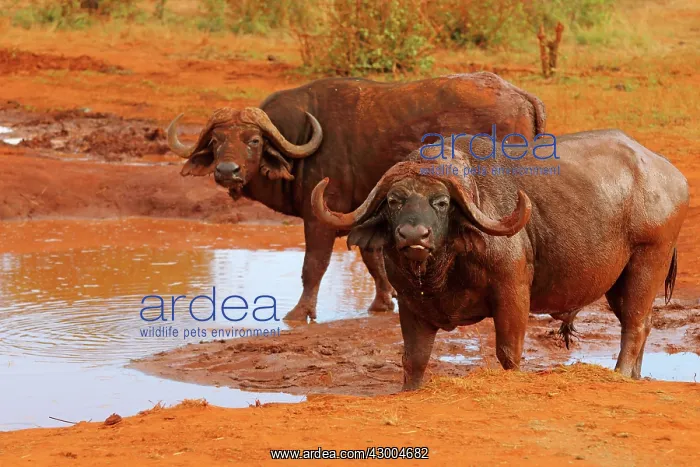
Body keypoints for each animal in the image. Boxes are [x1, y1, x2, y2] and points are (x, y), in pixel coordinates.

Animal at [165, 72, 546, 321]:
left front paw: (299, 313)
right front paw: (383, 302)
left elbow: (313, 265)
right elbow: (372, 258)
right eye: (216, 141)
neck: (301, 140)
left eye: (253, 140)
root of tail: (522, 95)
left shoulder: (319, 217)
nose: (226, 171)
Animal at [311, 131, 689, 389]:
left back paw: (621, 375)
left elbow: (509, 351)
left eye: (441, 202)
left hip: (647, 261)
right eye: (393, 200)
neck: (445, 267)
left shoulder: (512, 292)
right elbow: (413, 359)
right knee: (642, 323)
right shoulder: (409, 301)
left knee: (635, 325)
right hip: (618, 282)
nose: (413, 235)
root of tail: (673, 177)